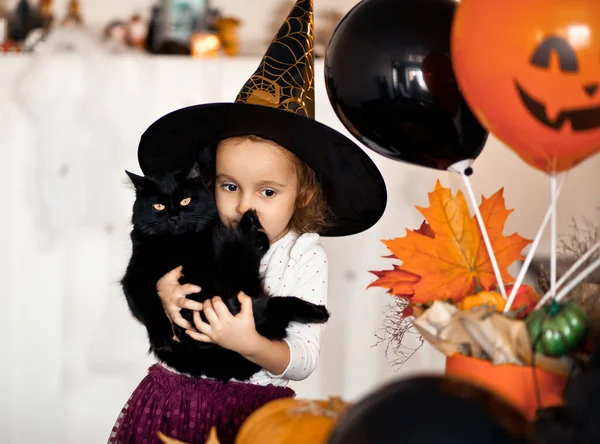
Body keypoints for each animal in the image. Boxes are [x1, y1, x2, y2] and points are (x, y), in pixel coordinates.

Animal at [120, 163, 330, 382]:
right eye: (158, 206)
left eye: (185, 201)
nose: (174, 216)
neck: (180, 244)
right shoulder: (134, 277)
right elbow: (151, 307)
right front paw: (162, 337)